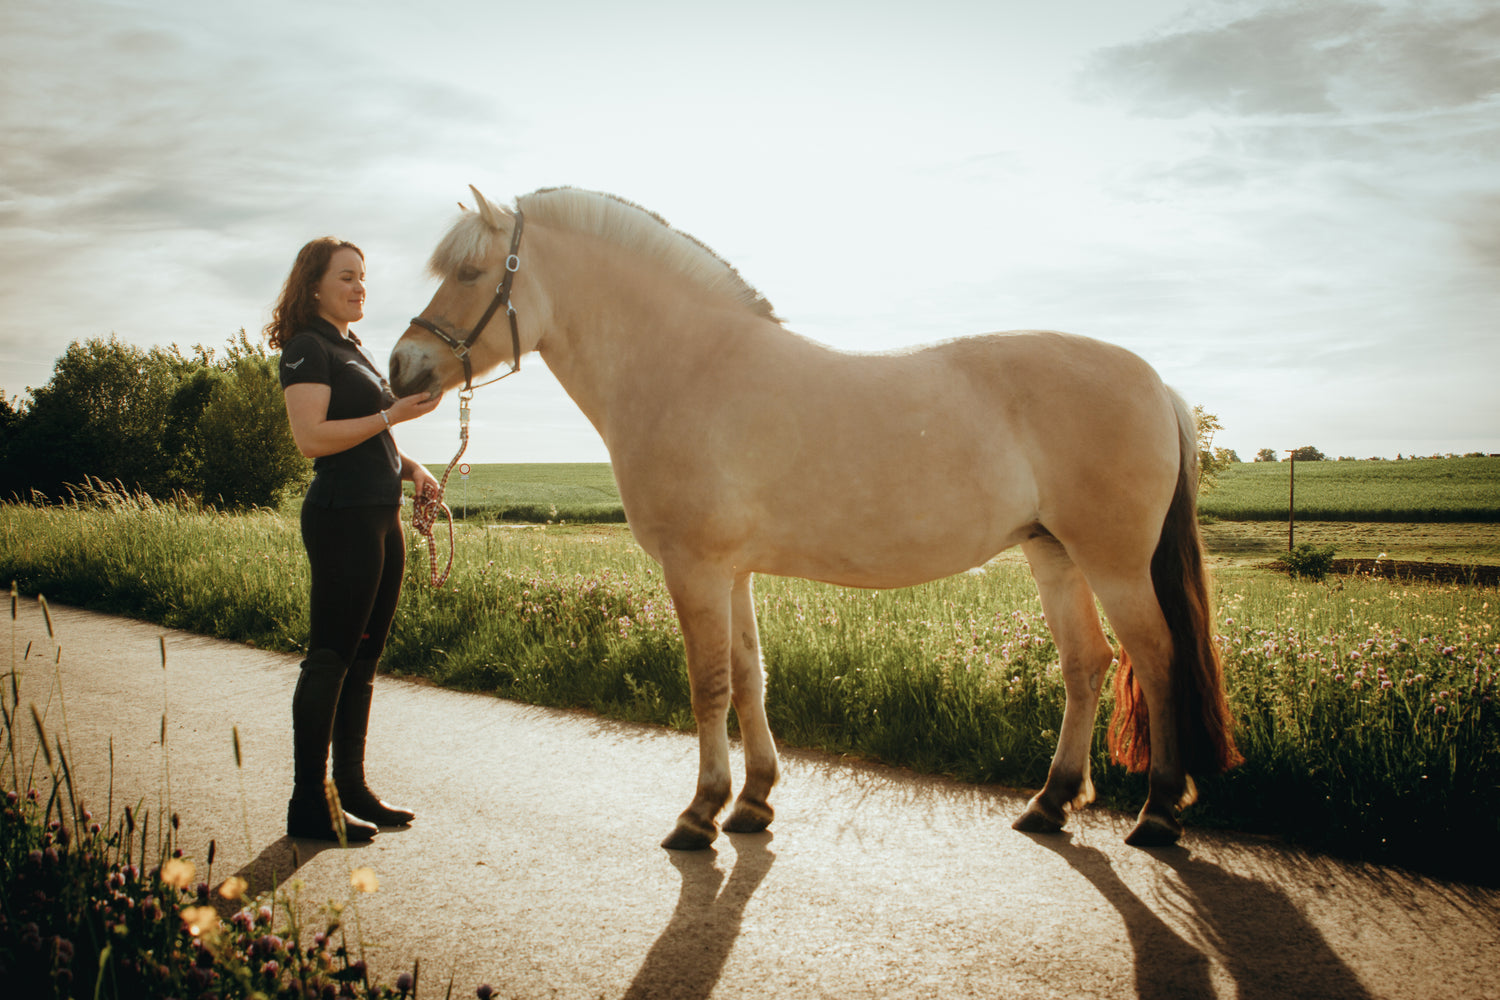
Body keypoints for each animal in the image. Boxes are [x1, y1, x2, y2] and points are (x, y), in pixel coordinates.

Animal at [390, 185, 1242, 851]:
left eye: (470, 272)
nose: (403, 368)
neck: (688, 367)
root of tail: (1157, 383)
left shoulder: (695, 569)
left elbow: (708, 686)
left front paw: (699, 812)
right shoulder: (730, 572)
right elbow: (749, 678)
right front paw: (753, 801)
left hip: (1114, 562)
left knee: (1156, 658)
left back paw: (1158, 812)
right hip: (1053, 554)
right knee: (1086, 665)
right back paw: (1051, 802)